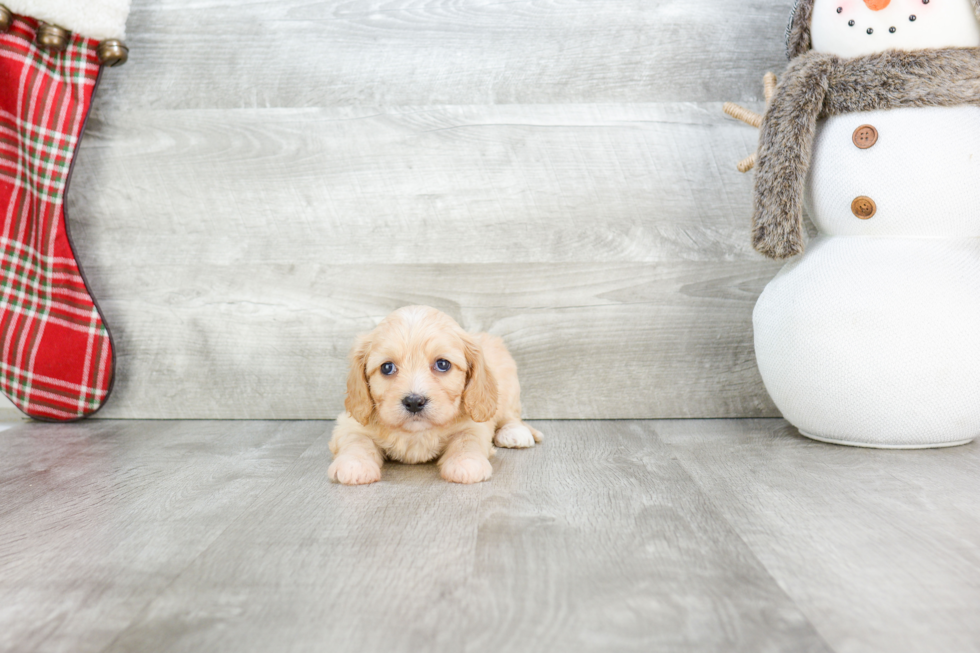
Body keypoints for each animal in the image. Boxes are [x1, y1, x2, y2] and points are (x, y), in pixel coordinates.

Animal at [330, 306, 544, 484]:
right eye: (387, 367)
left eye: (443, 364)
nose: (414, 402)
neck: (416, 433)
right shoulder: (350, 423)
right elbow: (357, 440)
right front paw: (353, 465)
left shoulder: (474, 424)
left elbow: (467, 440)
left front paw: (466, 463)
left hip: (509, 390)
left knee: (510, 415)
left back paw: (514, 432)